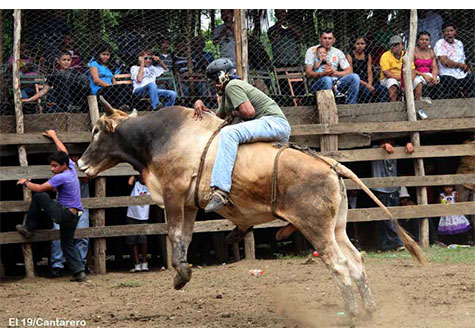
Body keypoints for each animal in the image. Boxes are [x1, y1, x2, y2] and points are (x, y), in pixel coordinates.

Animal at [79, 96, 428, 320]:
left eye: (96, 132)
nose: (80, 164)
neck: (160, 136)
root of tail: (330, 163)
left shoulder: (174, 195)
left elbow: (175, 234)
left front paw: (181, 274)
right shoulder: (189, 203)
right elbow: (184, 238)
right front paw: (182, 274)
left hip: (317, 228)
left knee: (339, 265)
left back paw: (351, 314)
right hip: (337, 227)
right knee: (355, 261)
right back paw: (368, 310)